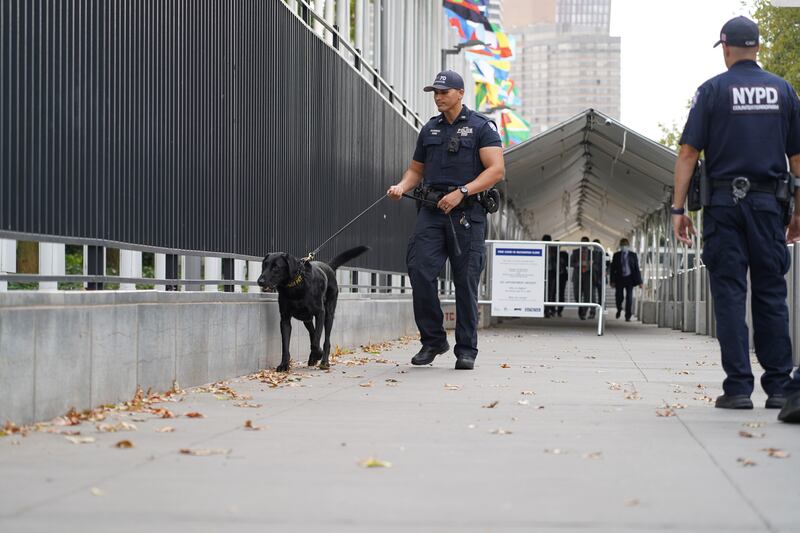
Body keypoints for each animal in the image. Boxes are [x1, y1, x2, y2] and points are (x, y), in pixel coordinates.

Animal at [386, 69, 504, 370]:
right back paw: (433, 348)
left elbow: (494, 167)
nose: (437, 96)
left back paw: (466, 353)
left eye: (444, 90)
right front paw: (432, 345)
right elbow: (422, 274)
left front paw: (451, 197)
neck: (453, 118)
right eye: (436, 91)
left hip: (468, 243)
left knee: (465, 283)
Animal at [672, 17, 800, 424]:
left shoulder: (702, 103)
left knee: (727, 286)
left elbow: (689, 151)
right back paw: (777, 390)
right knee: (772, 296)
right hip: (769, 246)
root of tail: (745, 187)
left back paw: (736, 391)